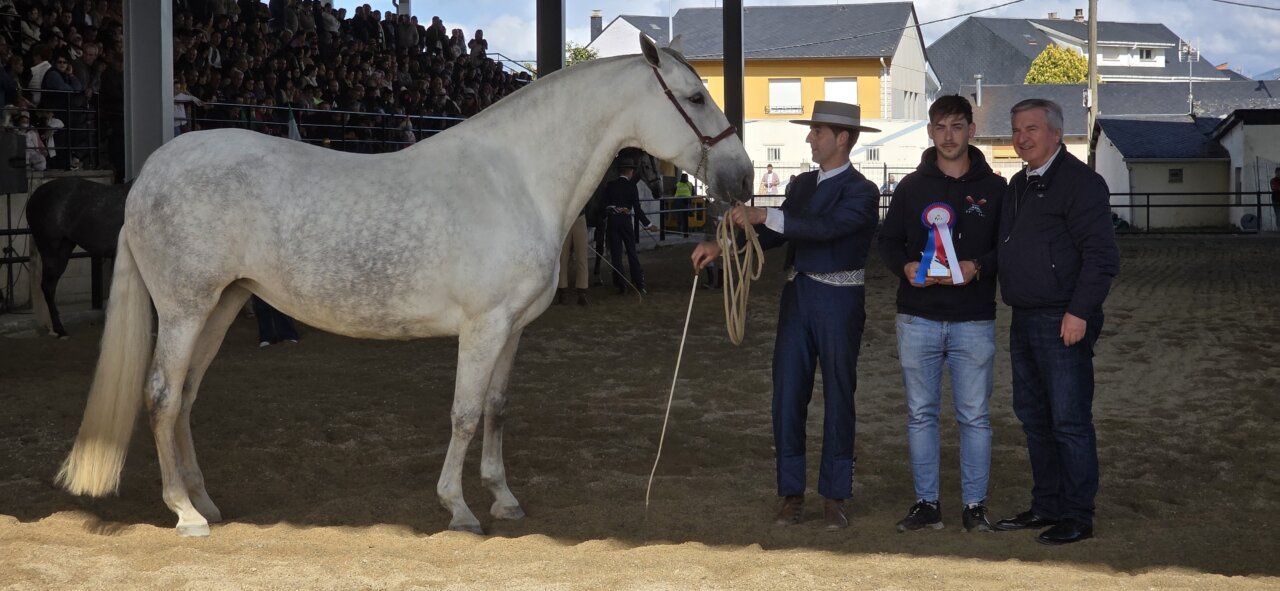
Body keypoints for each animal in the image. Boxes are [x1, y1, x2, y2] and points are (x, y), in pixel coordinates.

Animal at [55, 34, 753, 537]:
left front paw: (504, 499)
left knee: (186, 397)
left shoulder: (513, 329)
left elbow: (497, 410)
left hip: (223, 304)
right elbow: (465, 414)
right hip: (183, 308)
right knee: (161, 395)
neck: (517, 178)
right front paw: (459, 509)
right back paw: (185, 513)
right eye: (694, 97)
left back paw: (206, 501)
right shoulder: (483, 326)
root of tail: (149, 174)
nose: (743, 178)